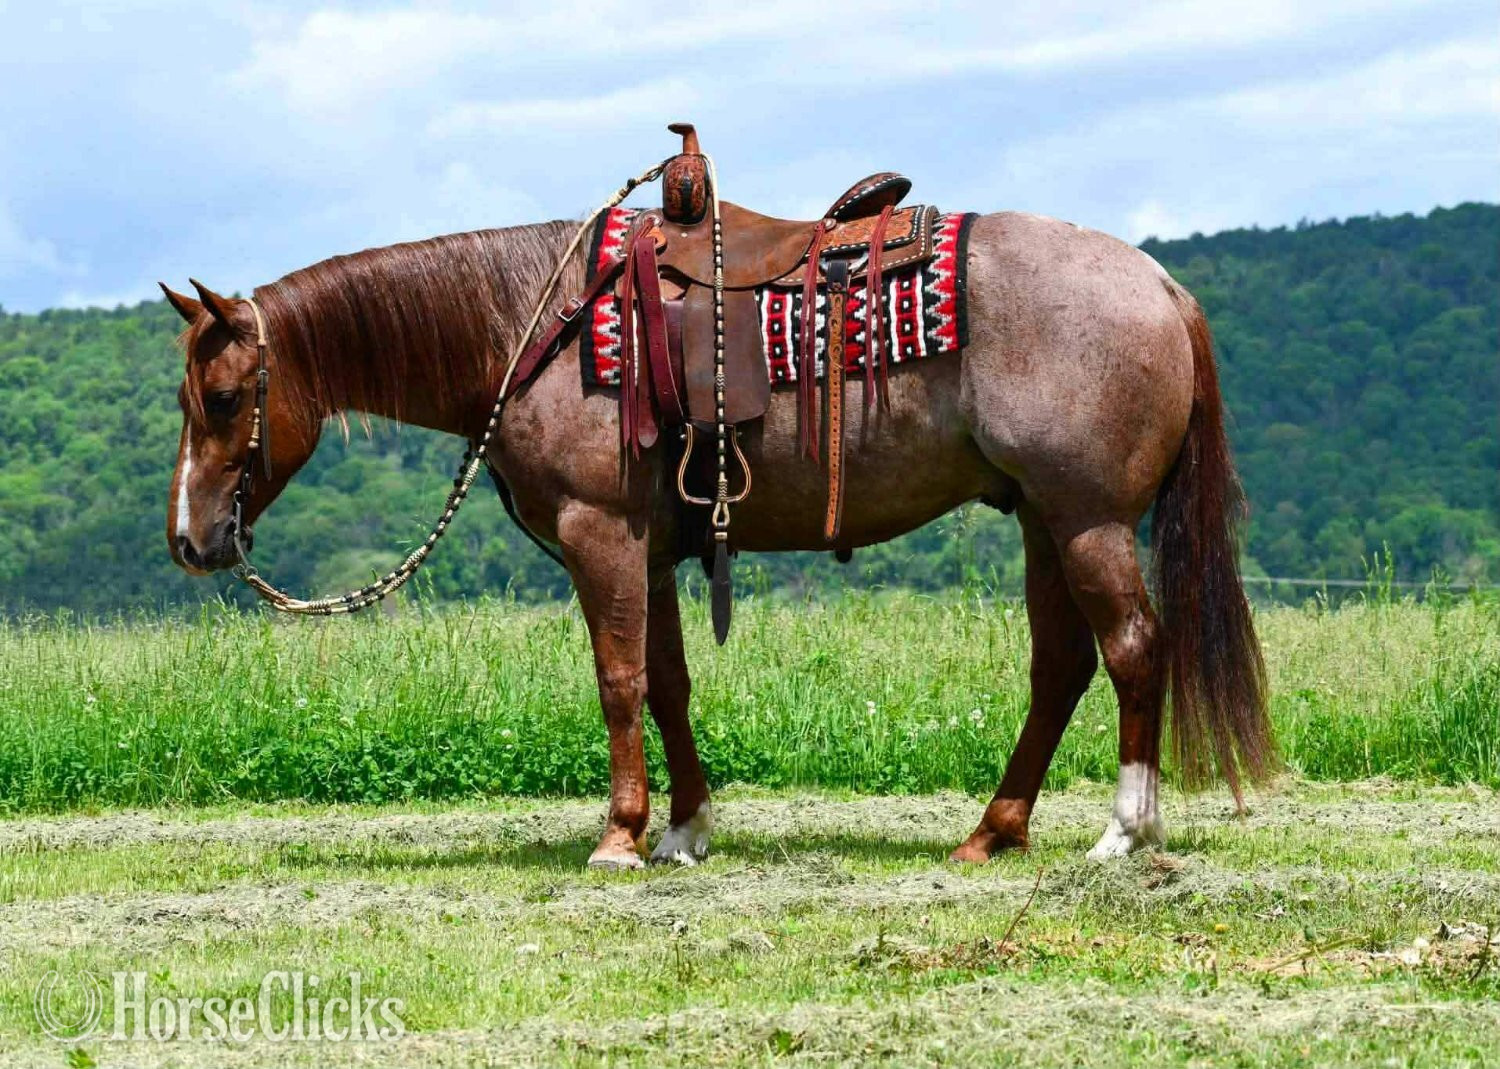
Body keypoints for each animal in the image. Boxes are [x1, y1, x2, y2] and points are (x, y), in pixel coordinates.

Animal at [162, 206, 1273, 869]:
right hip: (1046, 521)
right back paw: (992, 833)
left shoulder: (600, 535)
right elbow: (667, 683)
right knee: (1062, 667)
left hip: (1088, 521)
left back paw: (1125, 828)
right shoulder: (649, 552)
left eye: (221, 398)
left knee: (1134, 650)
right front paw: (685, 829)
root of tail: (1159, 286)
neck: (536, 325)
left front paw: (619, 835)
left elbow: (617, 681)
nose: (187, 540)